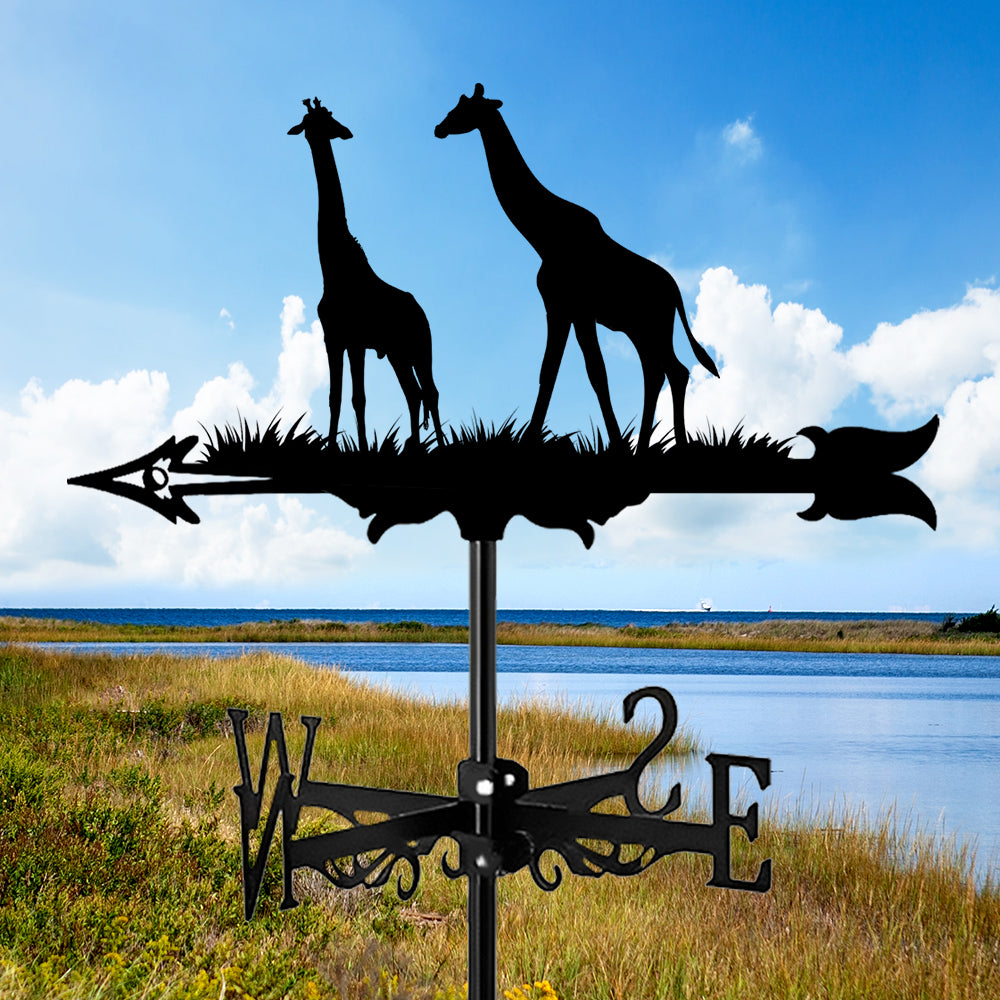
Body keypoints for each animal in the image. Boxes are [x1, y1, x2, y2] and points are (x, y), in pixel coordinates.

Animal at [288, 98, 444, 452]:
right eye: (312, 121)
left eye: (330, 116)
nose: (345, 131)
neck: (334, 268)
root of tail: (422, 311)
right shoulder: (333, 338)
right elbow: (335, 397)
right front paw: (334, 447)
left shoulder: (356, 340)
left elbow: (358, 398)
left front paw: (360, 447)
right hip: (398, 353)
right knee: (414, 394)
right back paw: (415, 445)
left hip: (420, 346)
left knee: (430, 391)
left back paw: (442, 446)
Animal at [435, 84, 719, 450]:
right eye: (455, 105)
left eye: (465, 108)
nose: (439, 128)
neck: (543, 235)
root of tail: (676, 292)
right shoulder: (558, 306)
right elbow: (549, 370)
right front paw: (531, 438)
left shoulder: (579, 308)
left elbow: (595, 372)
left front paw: (615, 444)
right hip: (641, 329)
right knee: (662, 371)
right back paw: (648, 444)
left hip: (652, 327)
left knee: (672, 370)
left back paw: (670, 444)